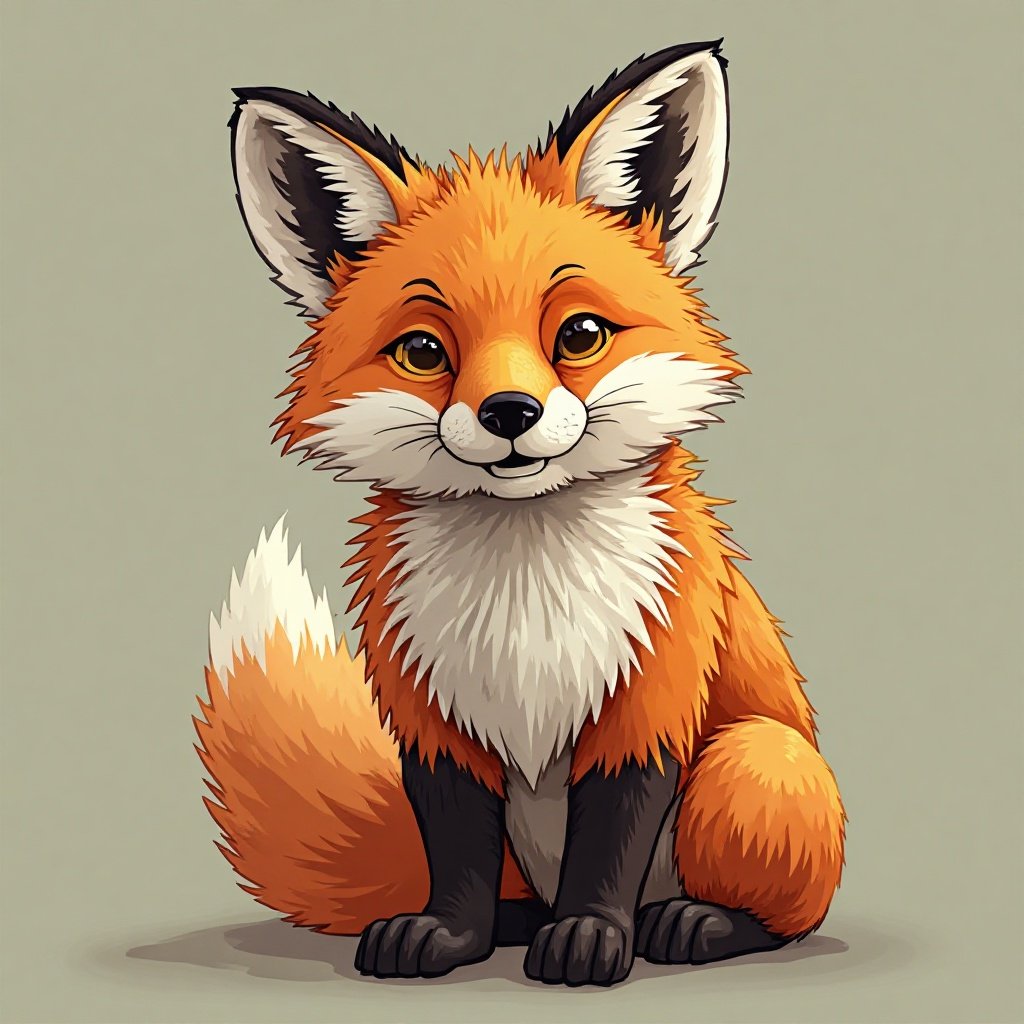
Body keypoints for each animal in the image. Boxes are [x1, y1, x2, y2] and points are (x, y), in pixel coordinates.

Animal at [195, 40, 846, 988]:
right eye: (423, 351)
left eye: (578, 335)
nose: (510, 412)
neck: (524, 596)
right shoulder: (434, 719)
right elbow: (456, 851)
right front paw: (449, 937)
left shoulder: (649, 700)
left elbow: (609, 845)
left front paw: (590, 940)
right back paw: (513, 921)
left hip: (753, 763)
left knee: (784, 914)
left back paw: (694, 923)